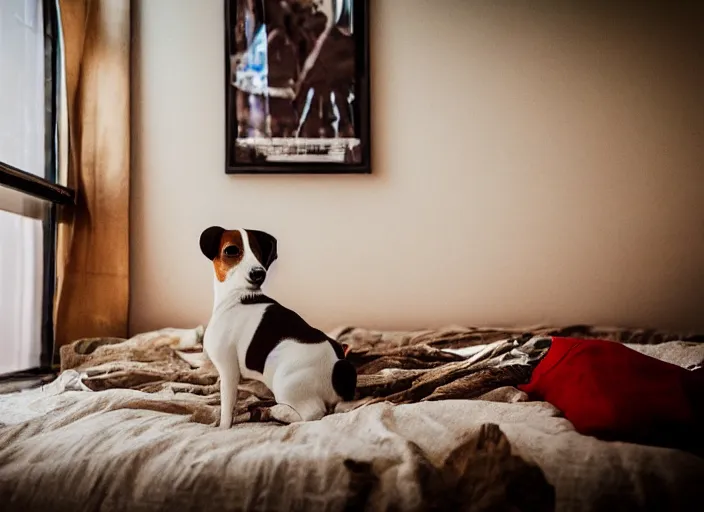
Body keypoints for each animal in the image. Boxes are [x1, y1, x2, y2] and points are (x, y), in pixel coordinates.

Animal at [199, 225, 358, 428]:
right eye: (231, 250)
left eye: (258, 253)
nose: (258, 273)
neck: (239, 296)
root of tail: (337, 369)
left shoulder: (228, 370)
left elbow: (227, 409)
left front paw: (222, 428)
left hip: (285, 382)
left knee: (313, 413)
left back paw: (278, 411)